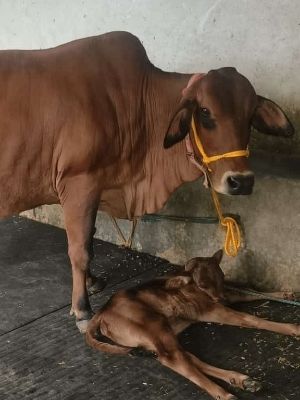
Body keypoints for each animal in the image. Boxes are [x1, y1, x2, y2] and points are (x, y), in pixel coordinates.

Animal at [0, 31, 292, 332]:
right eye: (205, 112)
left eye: (251, 114)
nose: (241, 182)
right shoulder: (79, 181)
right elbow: (79, 248)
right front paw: (81, 309)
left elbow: (88, 239)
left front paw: (92, 283)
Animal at [85, 250, 298, 400]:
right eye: (203, 284)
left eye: (221, 278)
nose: (220, 298)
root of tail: (101, 312)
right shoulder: (212, 310)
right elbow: (250, 319)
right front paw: (294, 328)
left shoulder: (225, 295)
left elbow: (249, 291)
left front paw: (286, 294)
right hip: (154, 326)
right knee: (174, 359)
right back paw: (225, 394)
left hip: (158, 336)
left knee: (187, 357)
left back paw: (242, 381)